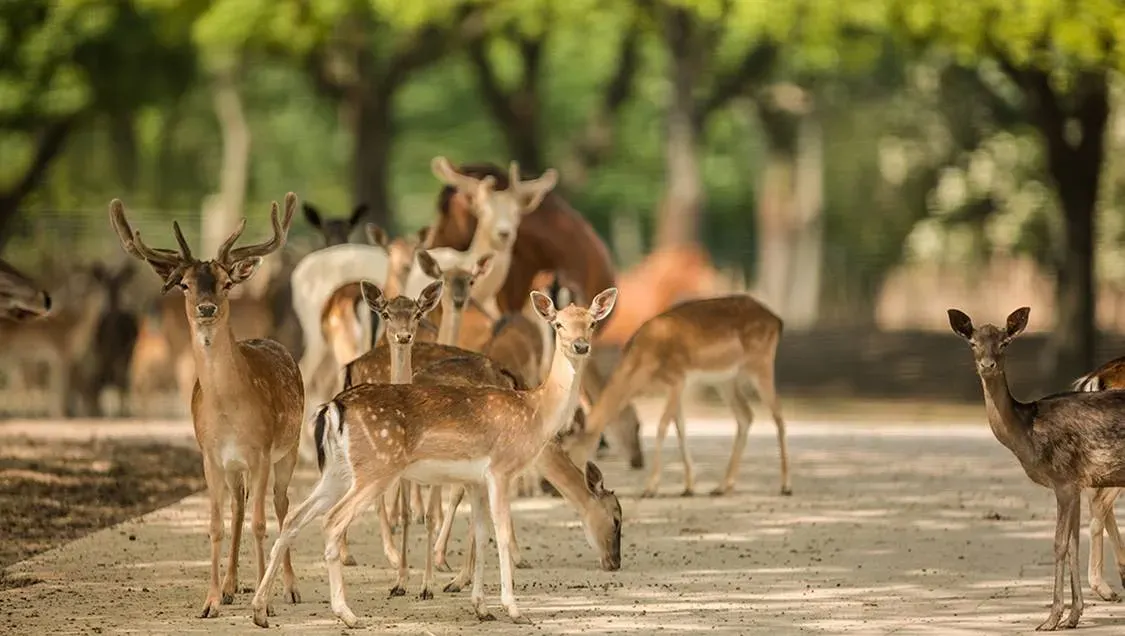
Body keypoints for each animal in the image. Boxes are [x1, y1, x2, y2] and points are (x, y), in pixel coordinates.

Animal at [108, 192, 306, 616]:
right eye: (184, 284)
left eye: (227, 283)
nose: (207, 308)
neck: (229, 410)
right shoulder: (210, 455)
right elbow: (215, 524)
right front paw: (211, 600)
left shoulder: (261, 450)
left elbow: (262, 523)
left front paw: (263, 604)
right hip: (235, 467)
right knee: (238, 507)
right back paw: (232, 586)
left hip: (290, 447)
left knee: (282, 506)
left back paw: (290, 587)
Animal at [252, 285, 621, 625]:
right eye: (558, 324)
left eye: (591, 322)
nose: (581, 345)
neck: (535, 412)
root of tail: (331, 407)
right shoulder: (501, 469)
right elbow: (501, 533)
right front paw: (514, 610)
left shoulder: (476, 480)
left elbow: (481, 534)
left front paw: (480, 606)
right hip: (376, 467)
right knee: (331, 521)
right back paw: (347, 613)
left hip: (336, 471)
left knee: (294, 517)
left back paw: (260, 610)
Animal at [571, 292, 792, 495]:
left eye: (569, 448)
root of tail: (777, 320)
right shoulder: (676, 388)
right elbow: (681, 429)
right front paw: (688, 487)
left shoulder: (677, 379)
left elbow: (662, 427)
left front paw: (651, 488)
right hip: (725, 380)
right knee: (746, 415)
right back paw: (722, 487)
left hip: (761, 362)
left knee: (778, 414)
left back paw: (785, 486)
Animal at [954, 308, 1125, 630]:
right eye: (972, 342)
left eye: (1004, 342)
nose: (988, 365)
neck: (1027, 431)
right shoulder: (1075, 481)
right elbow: (1072, 544)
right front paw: (1072, 616)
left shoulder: (1064, 479)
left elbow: (1059, 544)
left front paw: (1052, 618)